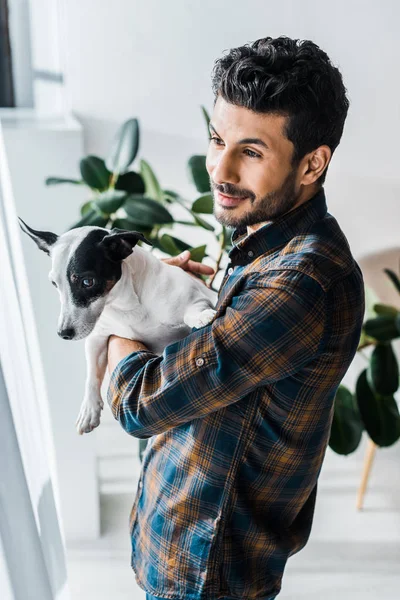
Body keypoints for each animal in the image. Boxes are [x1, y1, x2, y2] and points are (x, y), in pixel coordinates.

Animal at [19, 218, 217, 434]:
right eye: (55, 284)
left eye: (87, 282)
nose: (64, 333)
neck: (125, 303)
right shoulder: (97, 337)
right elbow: (92, 374)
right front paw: (89, 410)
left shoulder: (198, 297)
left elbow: (193, 310)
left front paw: (202, 316)